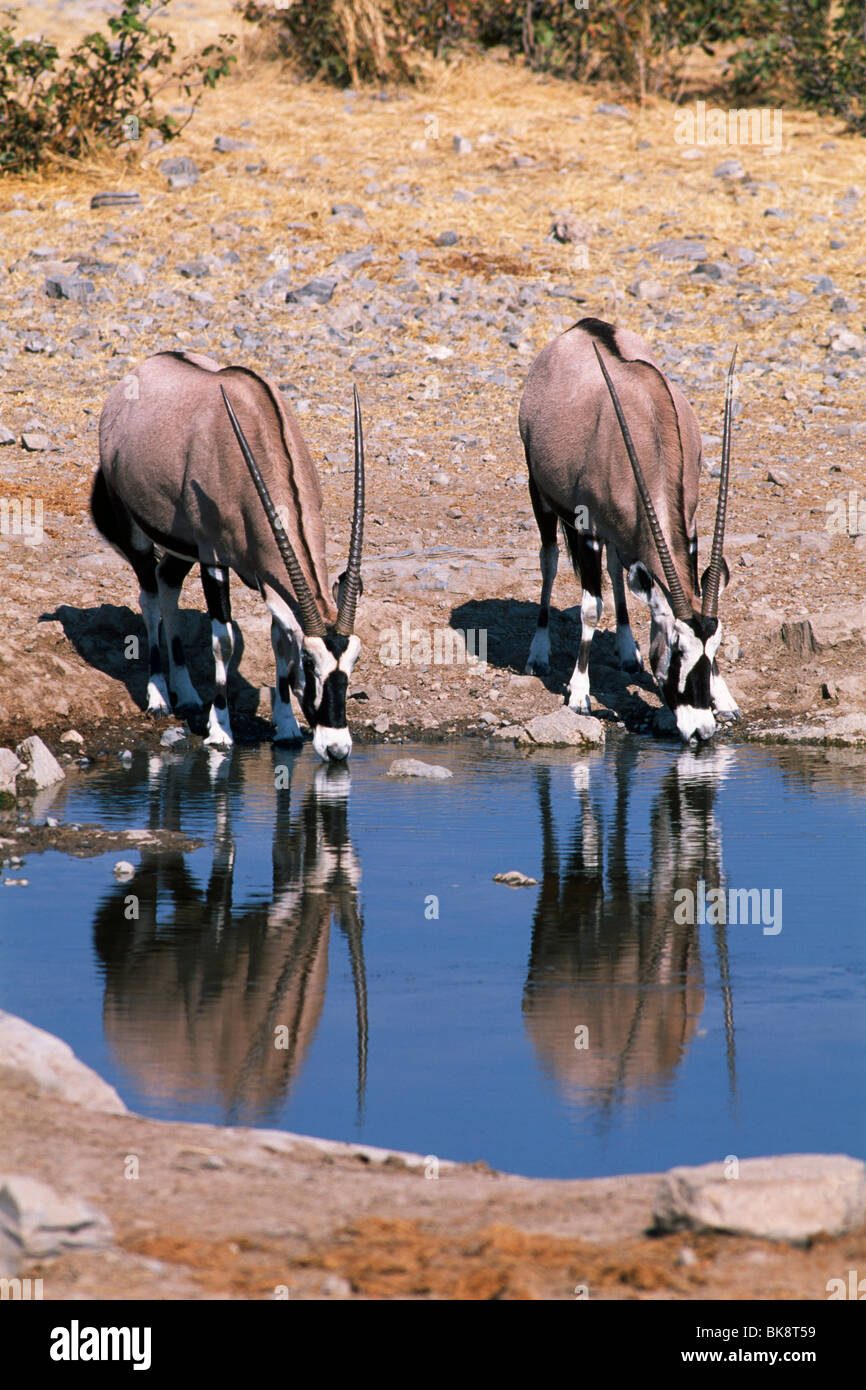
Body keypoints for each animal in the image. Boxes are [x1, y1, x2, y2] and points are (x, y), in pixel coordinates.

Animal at [93, 347, 364, 761]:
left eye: (354, 660)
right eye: (309, 661)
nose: (336, 749)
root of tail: (140, 371)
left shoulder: (266, 576)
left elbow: (279, 637)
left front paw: (286, 727)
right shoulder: (214, 558)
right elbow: (224, 640)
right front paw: (219, 730)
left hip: (181, 546)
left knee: (167, 584)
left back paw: (187, 693)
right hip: (137, 527)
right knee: (149, 596)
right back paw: (159, 697)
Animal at [517, 319, 739, 745]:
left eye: (714, 648)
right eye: (675, 647)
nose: (701, 730)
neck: (649, 427)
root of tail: (581, 327)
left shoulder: (689, 530)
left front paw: (725, 698)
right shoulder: (585, 528)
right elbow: (590, 608)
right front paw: (579, 694)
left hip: (618, 533)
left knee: (617, 569)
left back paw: (626, 651)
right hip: (541, 494)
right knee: (549, 561)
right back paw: (537, 653)